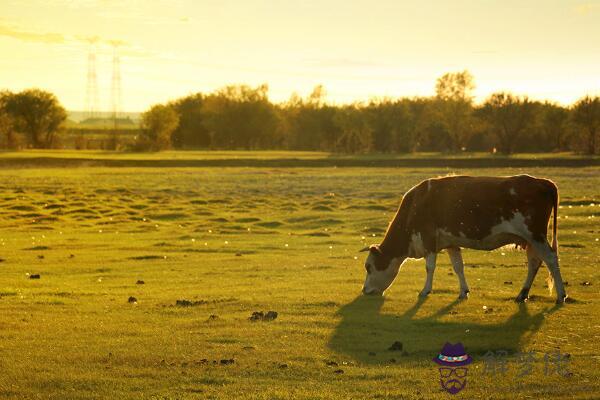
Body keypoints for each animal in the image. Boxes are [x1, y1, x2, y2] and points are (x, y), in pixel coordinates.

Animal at [360, 175, 568, 304]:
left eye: (368, 267)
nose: (364, 290)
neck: (416, 205)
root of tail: (543, 182)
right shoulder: (451, 243)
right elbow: (458, 267)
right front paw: (463, 292)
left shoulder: (428, 238)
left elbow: (430, 267)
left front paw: (425, 290)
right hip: (531, 239)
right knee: (534, 262)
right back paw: (522, 294)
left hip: (535, 235)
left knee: (550, 259)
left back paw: (561, 295)